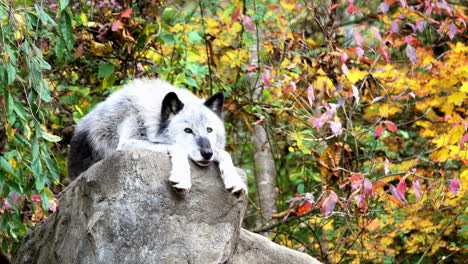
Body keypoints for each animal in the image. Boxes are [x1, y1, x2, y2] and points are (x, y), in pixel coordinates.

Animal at [68, 78, 249, 196]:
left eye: (209, 130)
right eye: (188, 130)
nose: (207, 154)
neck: (151, 117)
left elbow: (224, 153)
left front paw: (234, 180)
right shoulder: (126, 144)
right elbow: (178, 147)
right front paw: (182, 177)